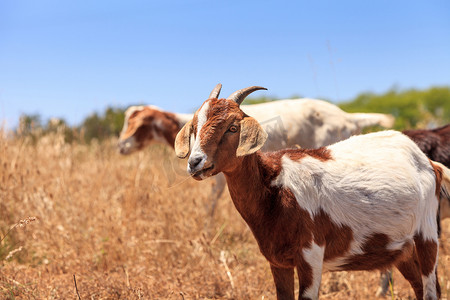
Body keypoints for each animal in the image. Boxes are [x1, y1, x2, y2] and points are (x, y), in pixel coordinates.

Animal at [174, 85, 444, 300]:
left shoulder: (311, 254)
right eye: (195, 127)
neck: (275, 187)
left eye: (232, 128)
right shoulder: (277, 260)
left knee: (430, 290)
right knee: (419, 287)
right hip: (403, 249)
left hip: (427, 235)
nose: (196, 162)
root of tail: (429, 163)